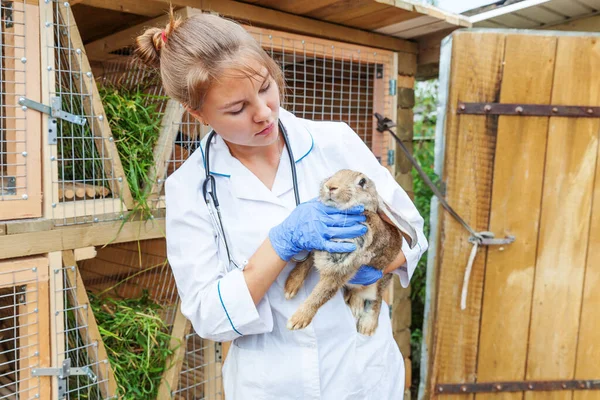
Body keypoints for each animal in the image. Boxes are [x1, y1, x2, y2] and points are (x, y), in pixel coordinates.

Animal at [284, 168, 418, 334]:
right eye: (335, 174)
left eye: (362, 182)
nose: (330, 186)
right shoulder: (318, 242)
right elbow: (305, 263)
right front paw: (290, 287)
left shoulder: (341, 268)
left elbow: (321, 294)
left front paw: (297, 321)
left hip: (379, 281)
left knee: (376, 299)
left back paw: (366, 325)